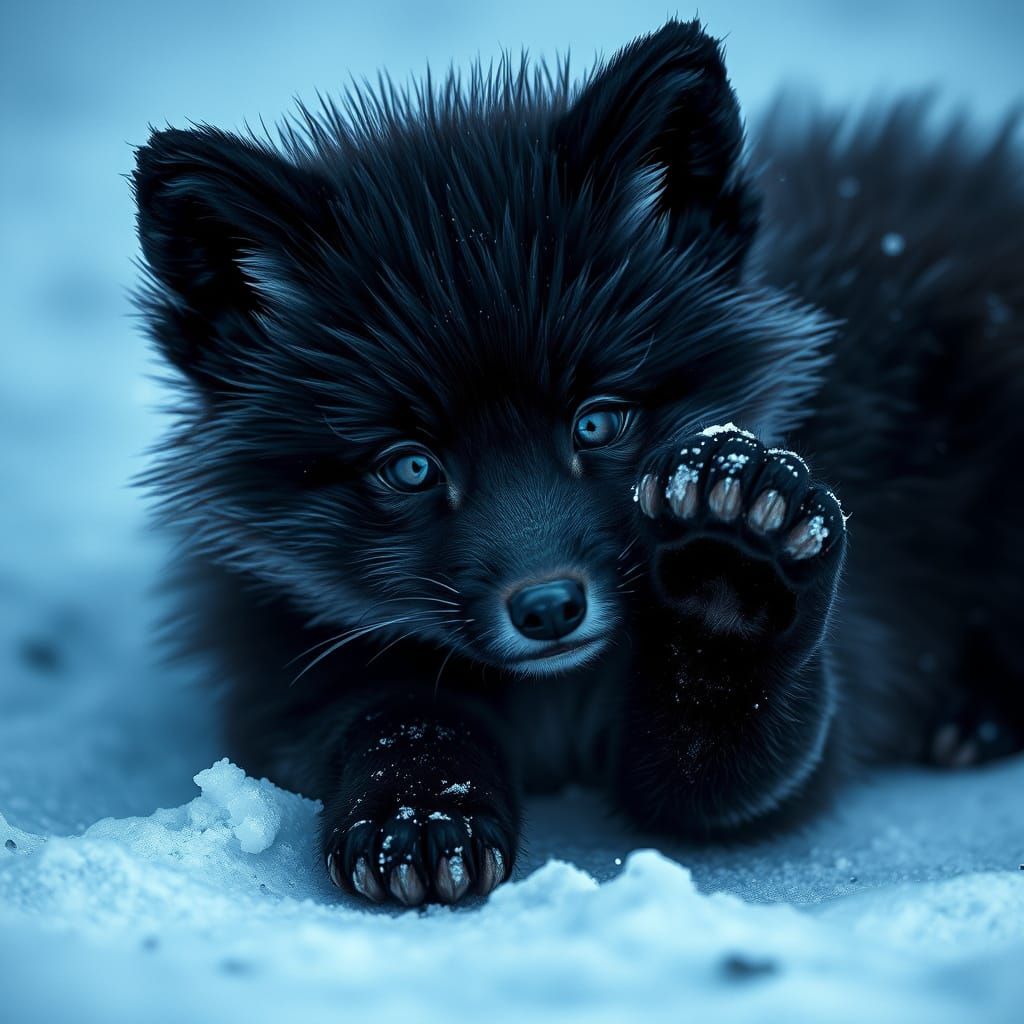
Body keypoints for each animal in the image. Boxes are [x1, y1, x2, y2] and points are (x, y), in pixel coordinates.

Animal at [132, 18, 1024, 906]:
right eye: (410, 467)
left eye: (596, 422)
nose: (550, 607)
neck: (554, 705)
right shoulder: (291, 676)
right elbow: (394, 714)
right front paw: (420, 812)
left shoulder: (825, 712)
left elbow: (723, 764)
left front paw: (730, 576)